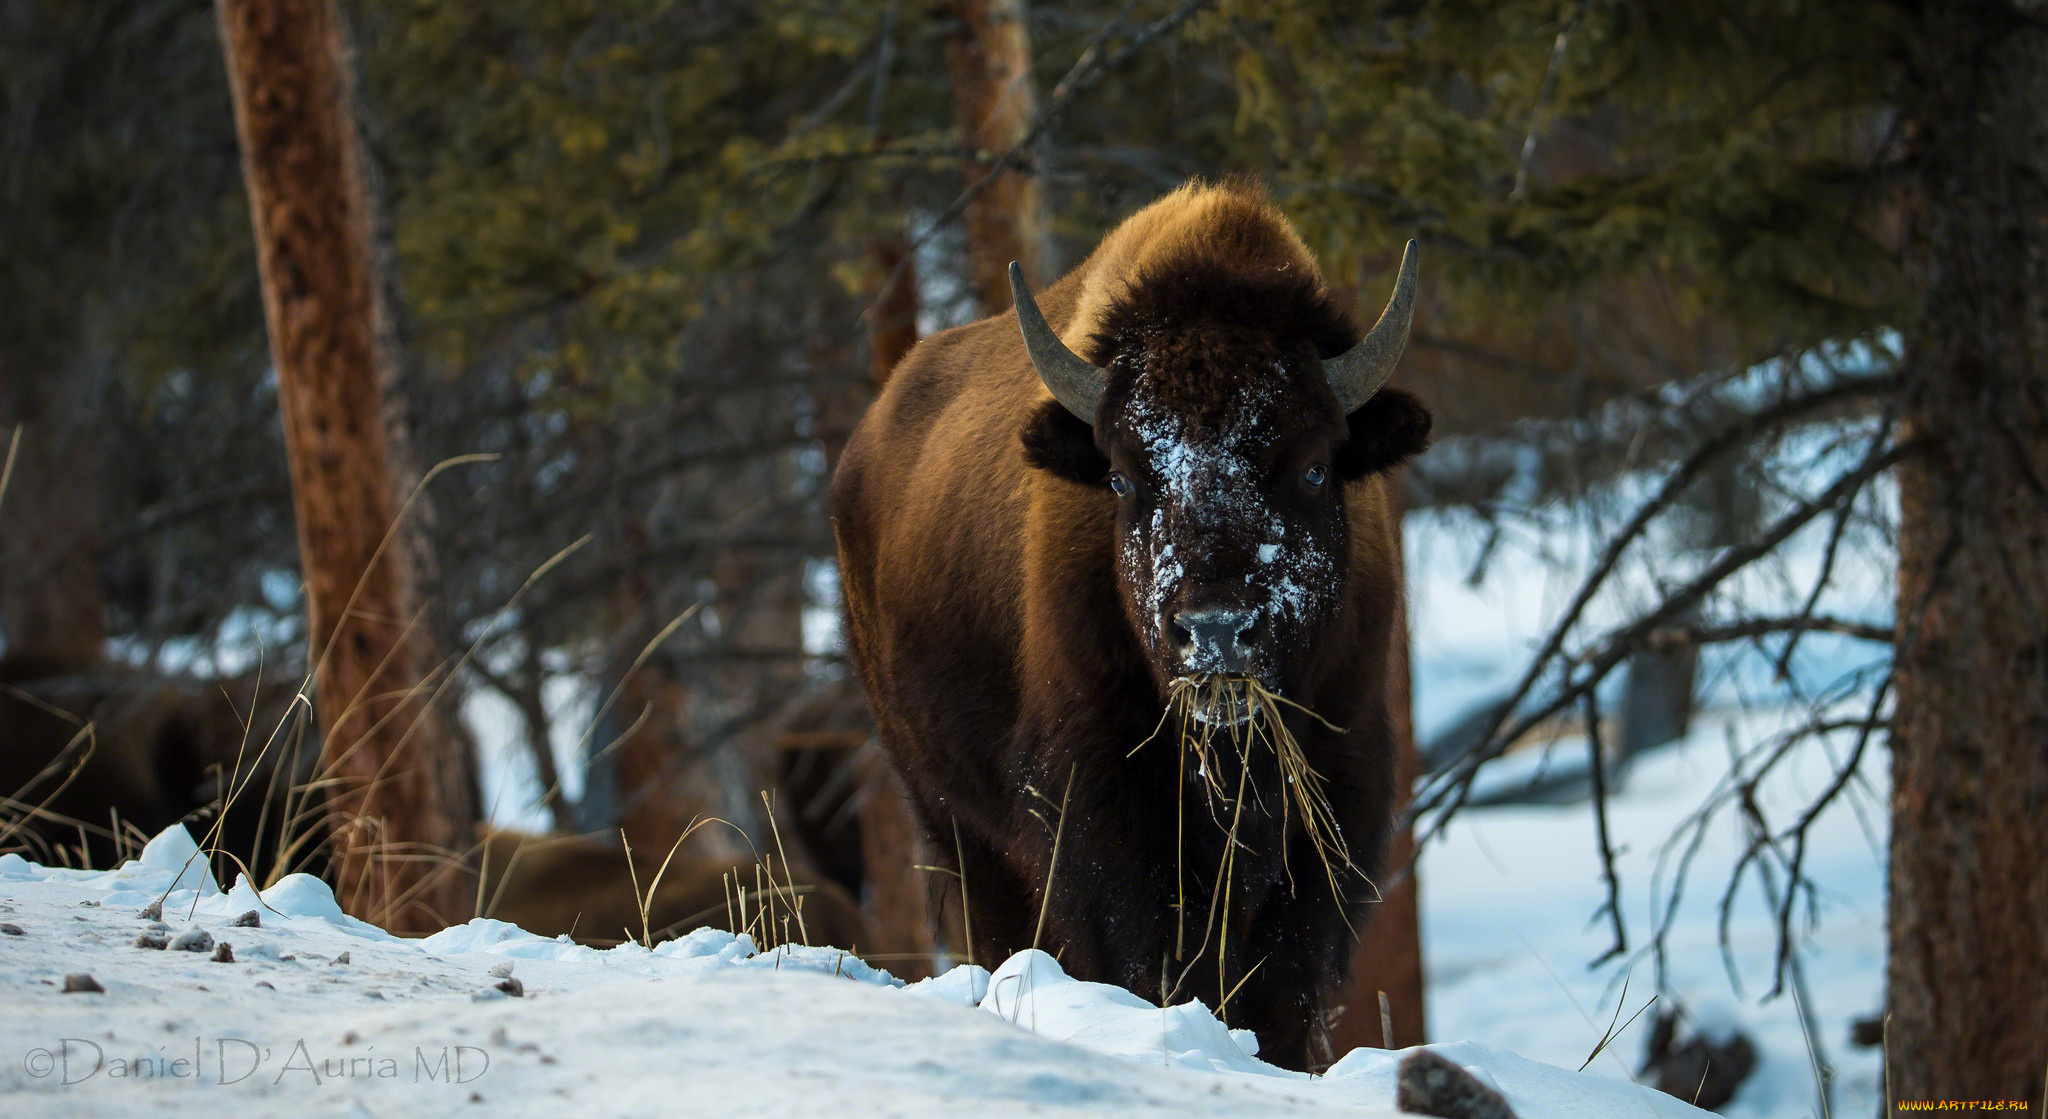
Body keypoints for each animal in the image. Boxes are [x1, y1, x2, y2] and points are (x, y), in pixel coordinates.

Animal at [823, 178, 1433, 1065]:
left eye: (1316, 465)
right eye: (1122, 476)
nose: (1216, 631)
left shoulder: (1335, 801)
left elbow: (1284, 986)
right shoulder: (1099, 812)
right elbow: (1148, 957)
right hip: (950, 817)